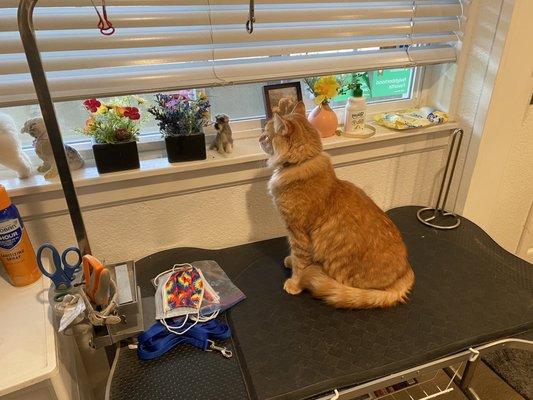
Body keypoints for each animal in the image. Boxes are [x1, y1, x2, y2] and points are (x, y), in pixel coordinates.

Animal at [260, 101, 414, 308]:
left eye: (267, 135)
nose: (259, 138)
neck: (301, 163)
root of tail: (406, 270)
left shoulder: (298, 234)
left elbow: (300, 264)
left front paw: (294, 283)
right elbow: (295, 257)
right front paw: (290, 261)